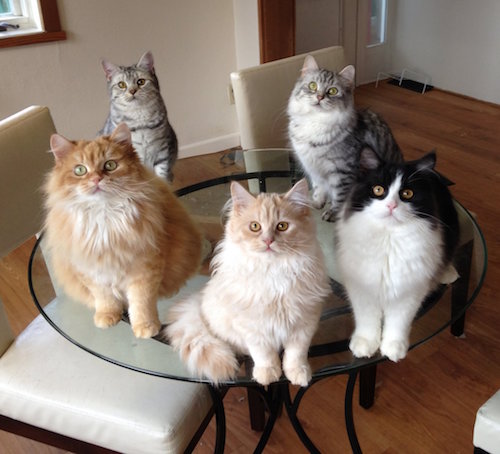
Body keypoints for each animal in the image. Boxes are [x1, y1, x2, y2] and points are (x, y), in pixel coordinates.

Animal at [43, 122, 203, 338]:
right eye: (80, 170)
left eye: (110, 165)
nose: (96, 179)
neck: (104, 217)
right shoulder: (91, 270)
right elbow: (104, 298)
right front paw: (107, 316)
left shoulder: (145, 266)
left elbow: (141, 302)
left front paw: (146, 327)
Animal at [98, 51, 178, 181]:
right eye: (121, 85)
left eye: (141, 81)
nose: (132, 91)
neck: (139, 118)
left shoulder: (162, 151)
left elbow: (162, 175)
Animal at [165, 179, 332, 384]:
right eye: (254, 226)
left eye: (282, 226)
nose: (268, 241)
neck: (273, 273)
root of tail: (200, 299)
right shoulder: (252, 327)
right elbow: (264, 354)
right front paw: (267, 374)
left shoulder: (305, 323)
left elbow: (296, 354)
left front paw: (298, 374)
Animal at [290, 55, 402, 223]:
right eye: (312, 85)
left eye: (332, 91)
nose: (319, 97)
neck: (315, 122)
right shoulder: (313, 168)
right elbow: (318, 189)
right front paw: (317, 202)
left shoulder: (342, 172)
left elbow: (339, 198)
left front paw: (333, 213)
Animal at [336, 148, 460, 362]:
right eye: (378, 190)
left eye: (407, 194)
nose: (392, 206)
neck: (388, 238)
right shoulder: (362, 286)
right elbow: (367, 318)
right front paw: (365, 344)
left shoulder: (410, 289)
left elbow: (399, 321)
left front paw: (394, 348)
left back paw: (447, 273)